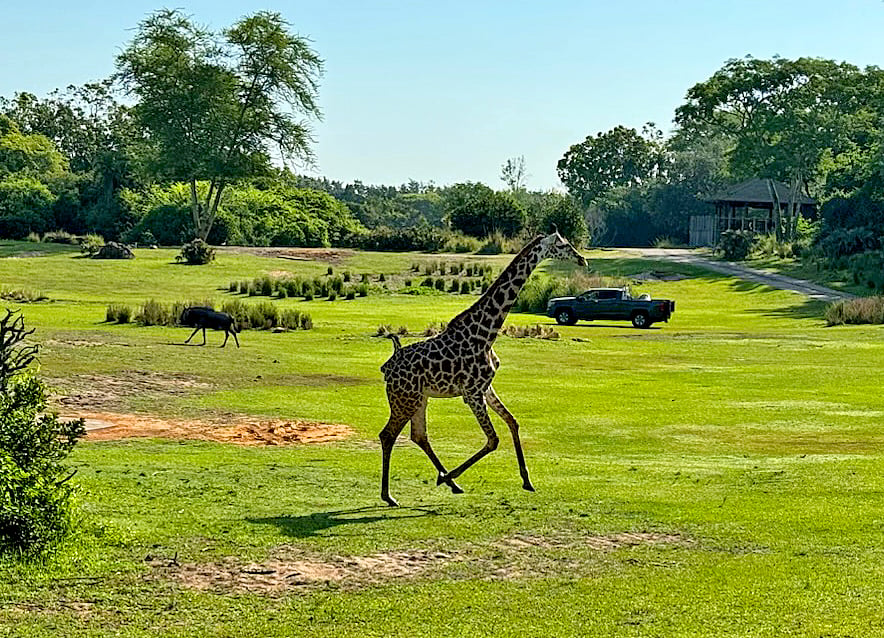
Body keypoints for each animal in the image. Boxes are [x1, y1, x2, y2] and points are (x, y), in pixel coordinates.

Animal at [378, 231, 586, 506]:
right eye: (563, 245)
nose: (582, 259)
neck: (487, 333)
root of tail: (387, 367)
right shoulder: (472, 393)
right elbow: (493, 439)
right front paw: (445, 477)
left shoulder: (486, 388)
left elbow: (512, 422)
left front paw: (527, 481)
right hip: (404, 399)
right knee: (388, 435)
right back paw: (390, 495)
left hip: (418, 399)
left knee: (419, 436)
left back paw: (451, 484)